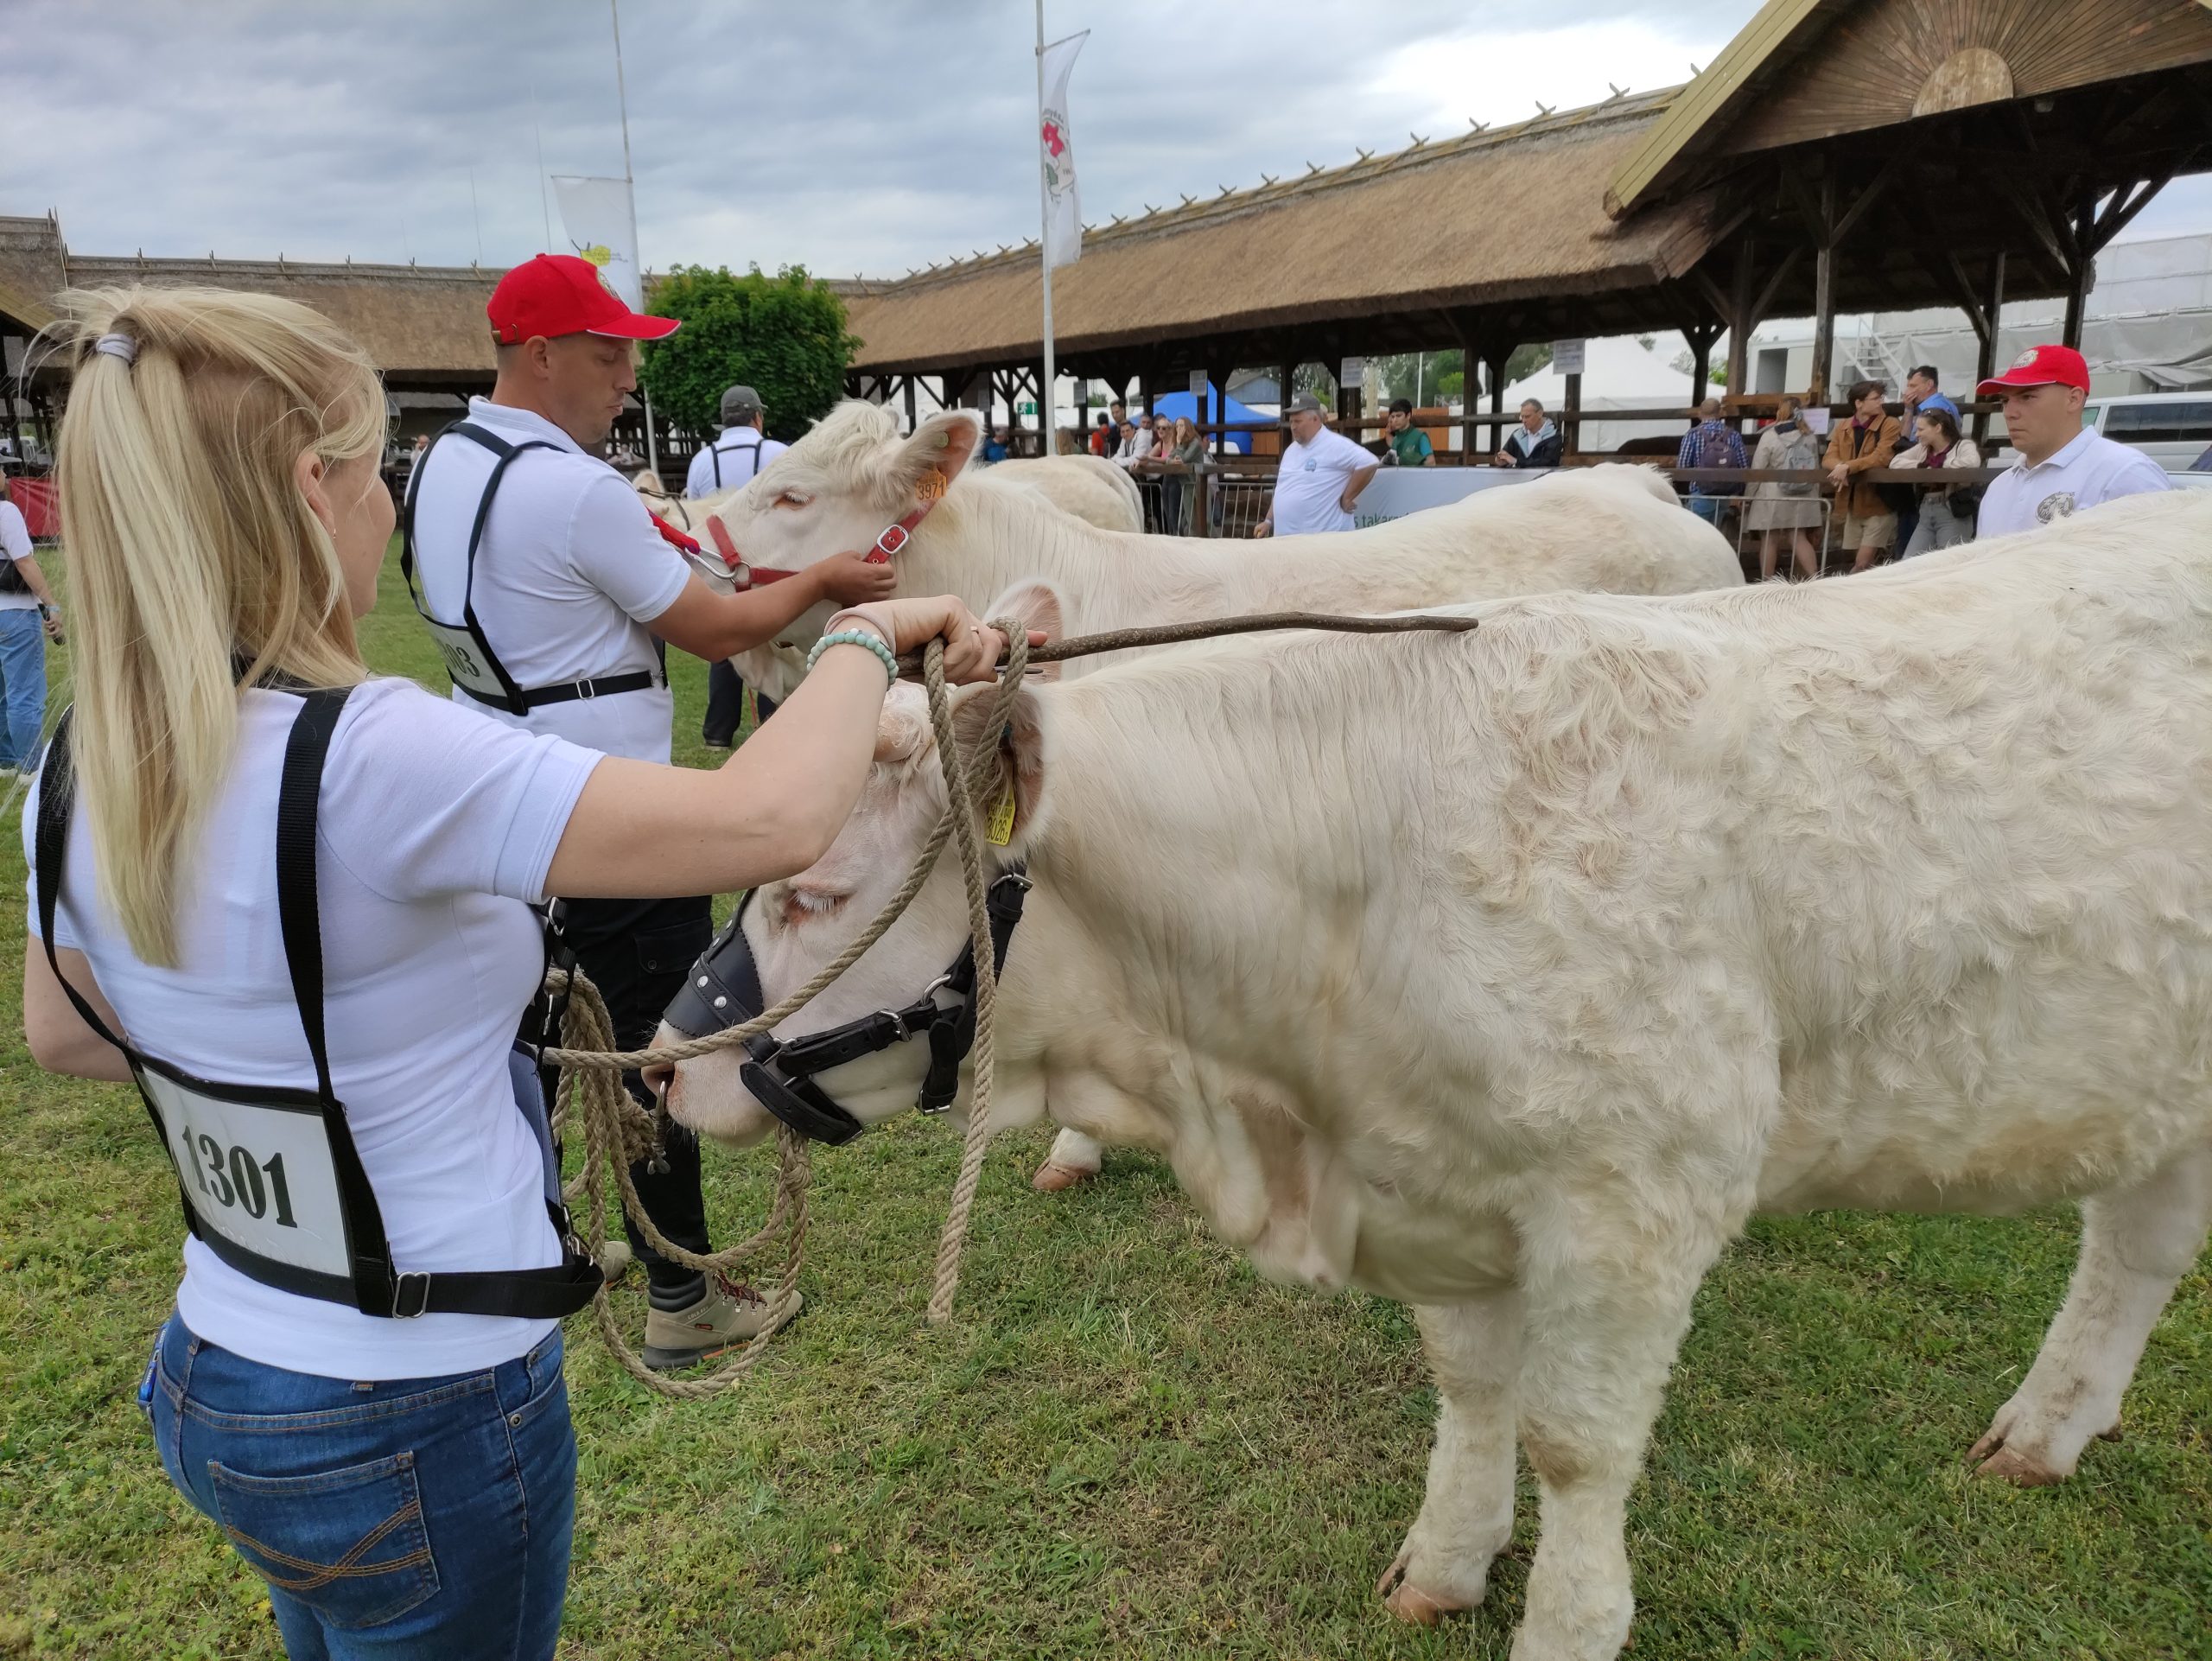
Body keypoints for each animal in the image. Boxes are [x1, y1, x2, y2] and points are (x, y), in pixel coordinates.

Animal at [654, 493, 2212, 1661]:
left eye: (812, 889)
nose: (666, 1064)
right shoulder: (1444, 1177)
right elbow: (1472, 1386)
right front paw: (1448, 1560)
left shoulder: (1637, 1196)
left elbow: (1578, 1443)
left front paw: (1569, 1626)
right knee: (2136, 1247)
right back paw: (2049, 1425)